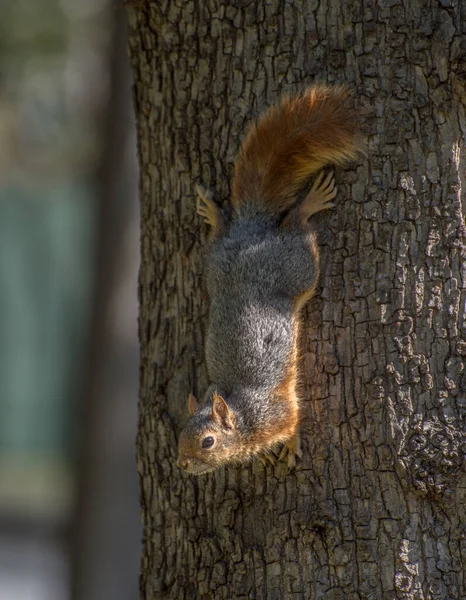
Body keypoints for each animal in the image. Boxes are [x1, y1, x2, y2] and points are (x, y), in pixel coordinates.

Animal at [177, 85, 362, 478]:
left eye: (207, 442)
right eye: (181, 434)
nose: (182, 464)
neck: (245, 417)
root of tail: (253, 231)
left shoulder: (280, 412)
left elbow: (293, 423)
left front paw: (290, 447)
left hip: (298, 266)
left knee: (295, 224)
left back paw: (308, 204)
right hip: (216, 264)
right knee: (223, 234)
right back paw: (214, 214)